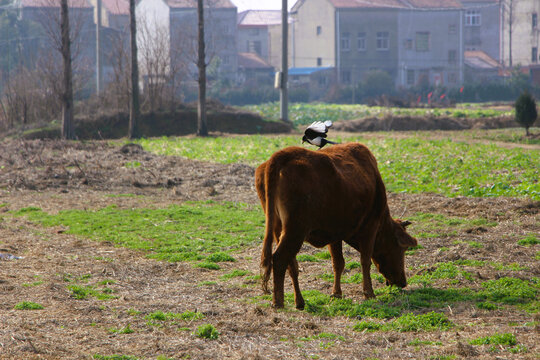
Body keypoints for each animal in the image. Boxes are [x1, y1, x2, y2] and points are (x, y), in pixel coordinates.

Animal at [254, 142, 418, 308]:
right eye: (403, 248)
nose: (403, 282)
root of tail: (282, 155)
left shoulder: (334, 233)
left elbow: (338, 263)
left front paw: (337, 293)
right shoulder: (371, 225)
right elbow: (365, 260)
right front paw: (369, 293)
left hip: (279, 229)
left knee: (291, 264)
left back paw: (299, 301)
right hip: (295, 230)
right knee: (280, 259)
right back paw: (278, 302)